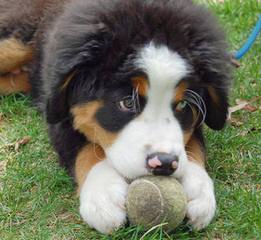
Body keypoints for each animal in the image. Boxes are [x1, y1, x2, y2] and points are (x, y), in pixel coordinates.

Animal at [1, 0, 231, 233]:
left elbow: (194, 143)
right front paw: (103, 194)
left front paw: (198, 188)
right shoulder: (59, 111)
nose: (165, 164)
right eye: (127, 103)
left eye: (183, 104)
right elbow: (84, 147)